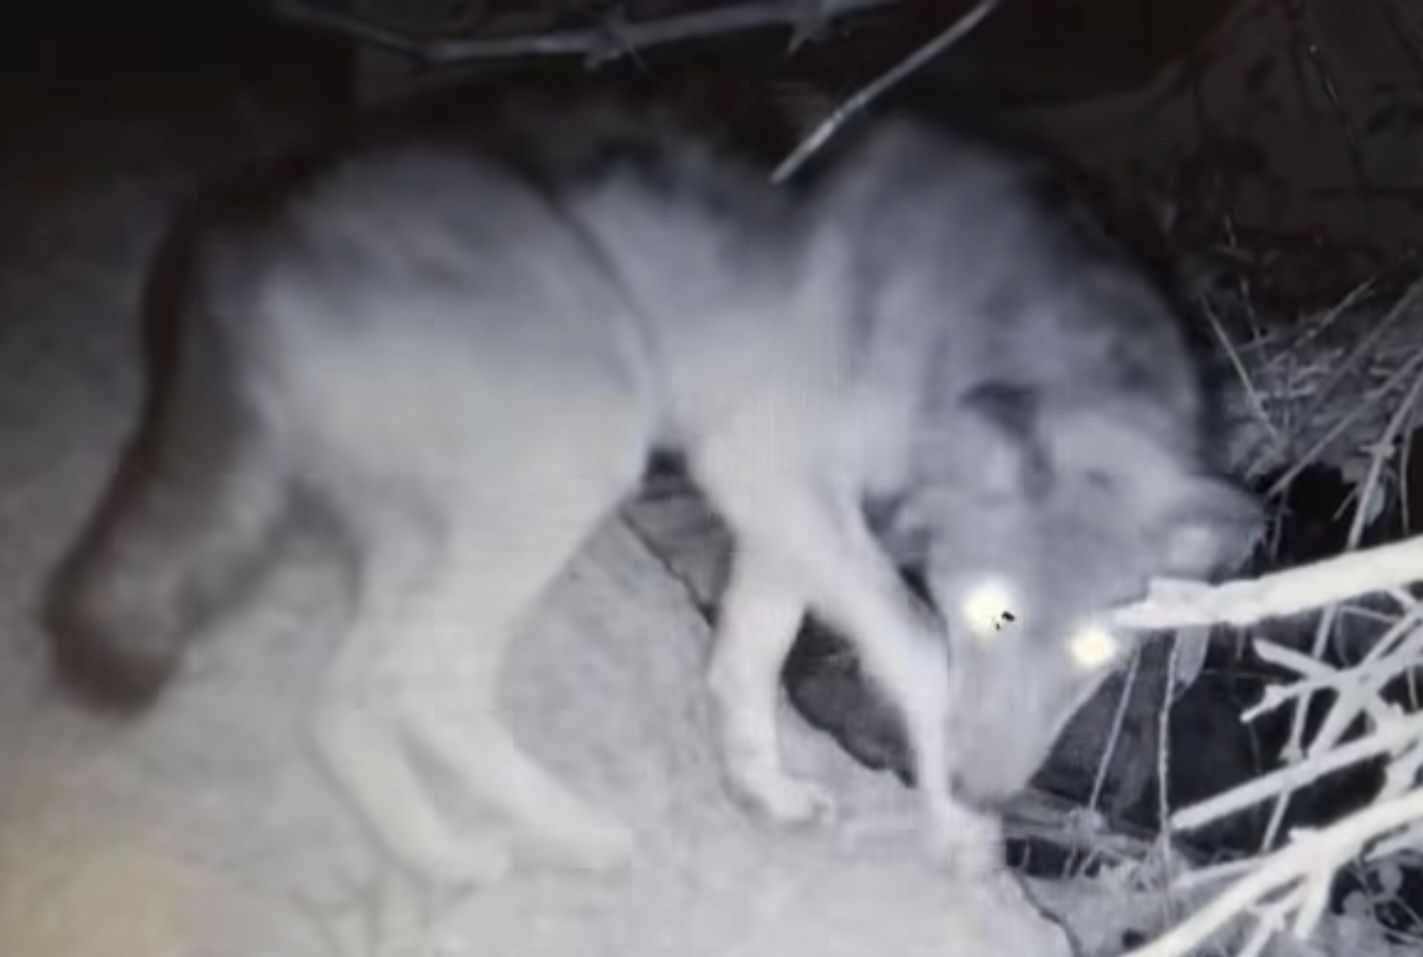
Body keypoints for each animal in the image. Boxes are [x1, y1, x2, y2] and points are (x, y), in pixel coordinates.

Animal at [43, 91, 1259, 886]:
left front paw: (764, 792)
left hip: (439, 525)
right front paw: (956, 832)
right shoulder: (770, 472)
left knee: (347, 701)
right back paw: (574, 834)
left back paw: (445, 856)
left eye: (1095, 652)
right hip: (580, 451)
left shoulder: (782, 511)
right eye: (991, 614)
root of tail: (238, 247)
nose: (987, 790)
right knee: (422, 681)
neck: (982, 322)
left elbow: (746, 664)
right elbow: (910, 653)